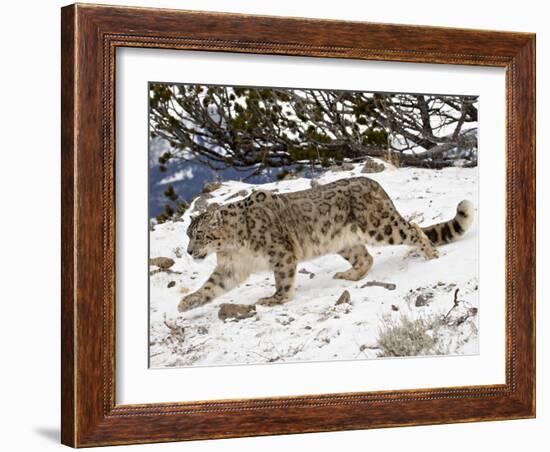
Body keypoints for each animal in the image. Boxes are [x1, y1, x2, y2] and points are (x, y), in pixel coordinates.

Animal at [177, 176, 474, 310]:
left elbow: (282, 279)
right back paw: (347, 275)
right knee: (365, 258)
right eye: (188, 234)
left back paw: (430, 254)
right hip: (345, 241)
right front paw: (188, 302)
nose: (190, 251)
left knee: (412, 228)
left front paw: (275, 299)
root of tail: (374, 183)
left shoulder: (280, 254)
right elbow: (212, 285)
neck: (232, 248)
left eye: (199, 235)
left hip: (380, 227)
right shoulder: (231, 267)